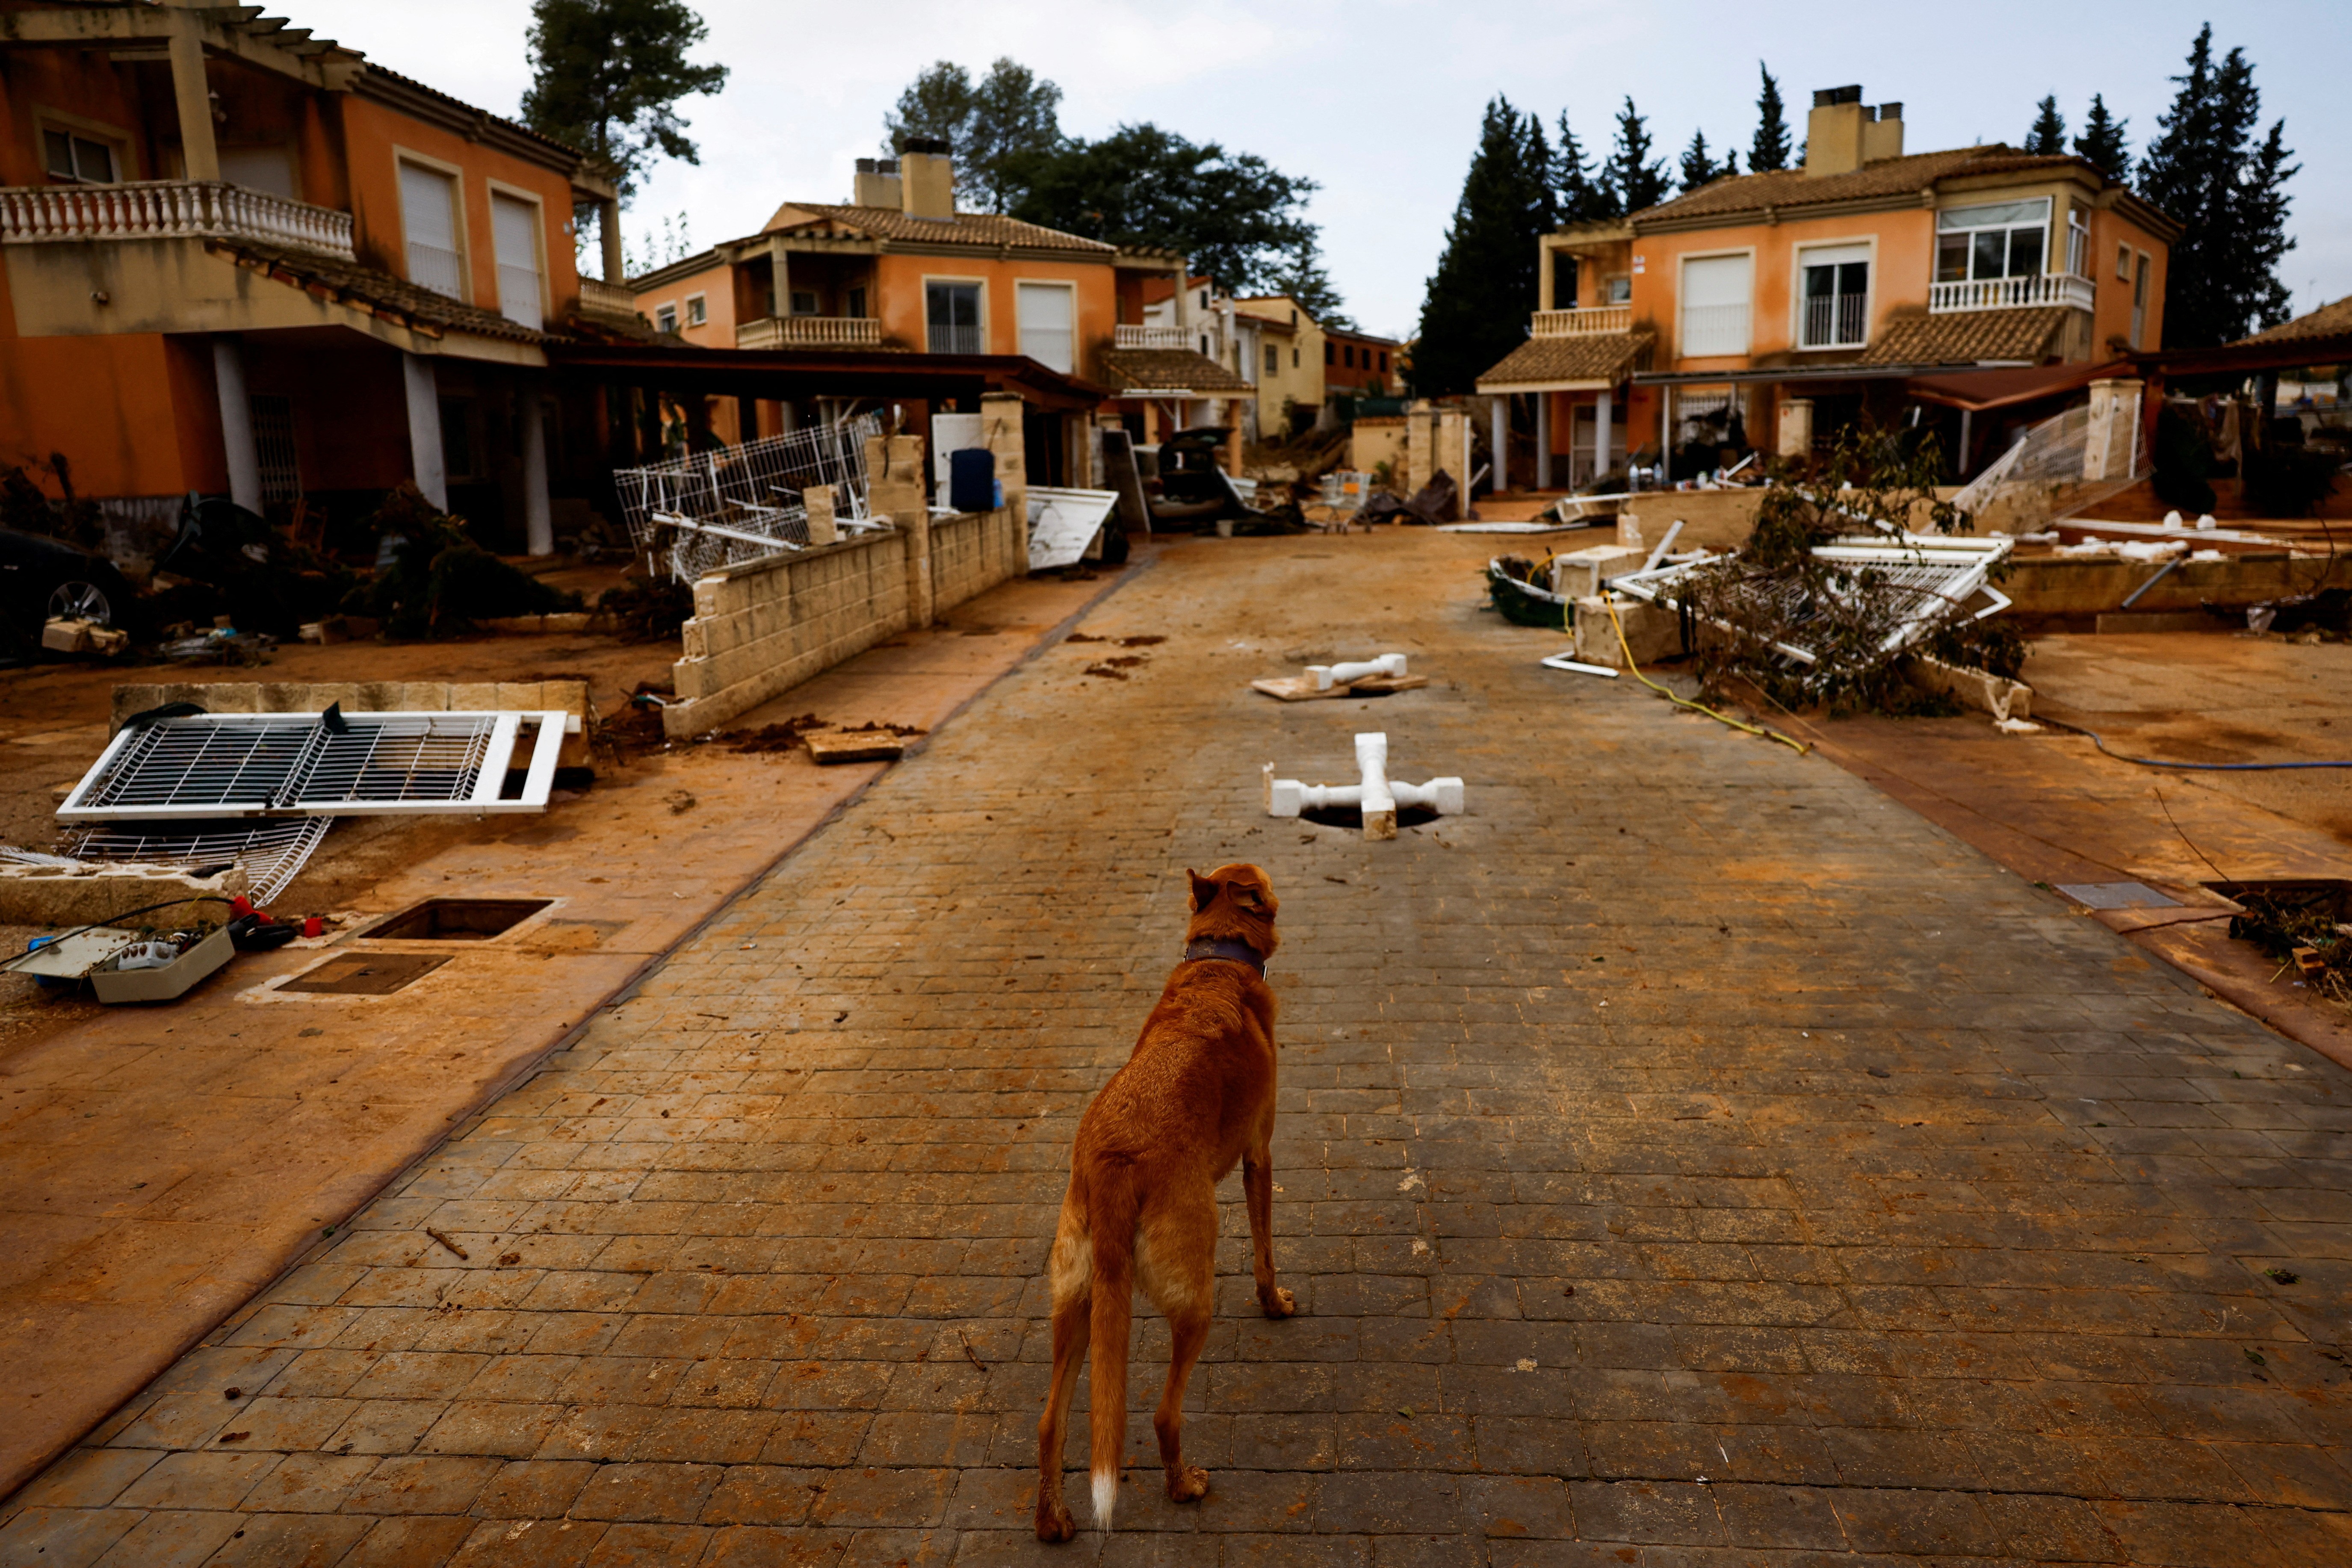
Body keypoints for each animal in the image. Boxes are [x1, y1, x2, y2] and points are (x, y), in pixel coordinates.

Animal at [1035, 865, 1298, 1542]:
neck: (1218, 963)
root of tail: (1113, 1161)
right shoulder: (1260, 1153)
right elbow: (1265, 1252)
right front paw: (1275, 1304)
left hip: (1079, 1300)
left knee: (1051, 1421)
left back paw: (1053, 1520)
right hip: (1194, 1296)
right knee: (1162, 1412)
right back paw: (1184, 1485)